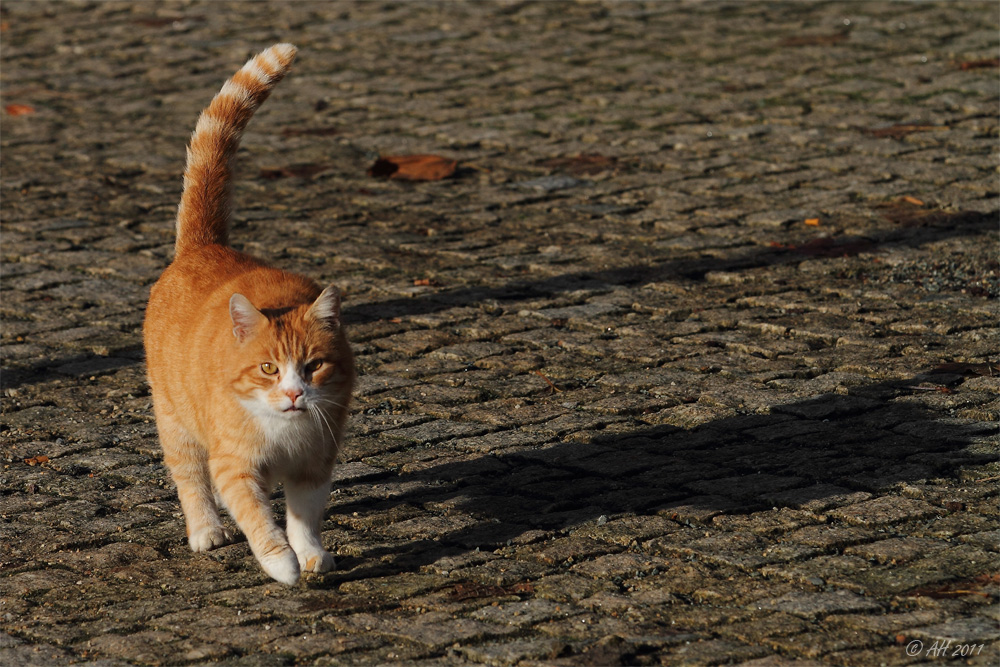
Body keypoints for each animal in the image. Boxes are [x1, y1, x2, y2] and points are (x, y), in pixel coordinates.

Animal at [144, 43, 356, 584]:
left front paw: (310, 553)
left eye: (313, 366)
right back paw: (206, 527)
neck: (283, 434)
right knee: (191, 478)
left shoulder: (314, 466)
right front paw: (281, 562)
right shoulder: (235, 466)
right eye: (267, 368)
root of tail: (205, 247)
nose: (294, 394)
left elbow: (303, 518)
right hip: (176, 421)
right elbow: (258, 516)